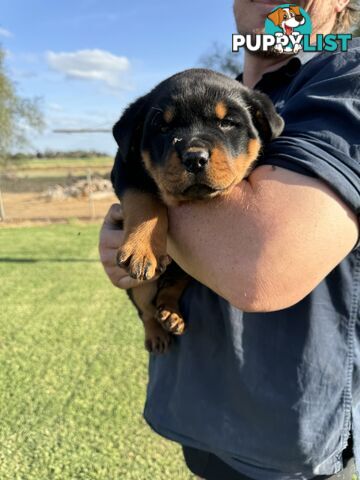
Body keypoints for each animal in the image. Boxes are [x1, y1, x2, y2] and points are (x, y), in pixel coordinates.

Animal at [111, 67, 282, 352]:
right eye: (163, 127)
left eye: (227, 123)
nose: (194, 158)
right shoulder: (124, 166)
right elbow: (143, 198)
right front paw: (142, 248)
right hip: (140, 286)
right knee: (145, 309)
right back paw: (156, 333)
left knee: (171, 286)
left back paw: (170, 313)